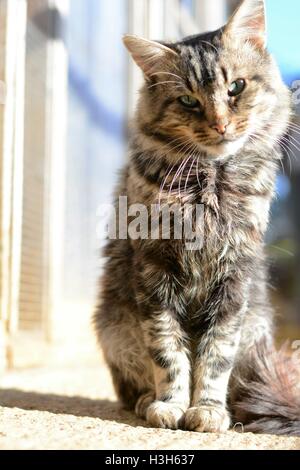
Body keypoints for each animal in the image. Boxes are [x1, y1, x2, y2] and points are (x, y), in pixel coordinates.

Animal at [94, 0, 300, 436]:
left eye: (236, 87)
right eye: (188, 101)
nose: (221, 124)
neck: (211, 181)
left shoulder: (234, 276)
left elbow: (216, 356)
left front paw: (206, 410)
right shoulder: (155, 268)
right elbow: (168, 351)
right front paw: (170, 405)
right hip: (114, 328)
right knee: (131, 384)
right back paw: (145, 401)